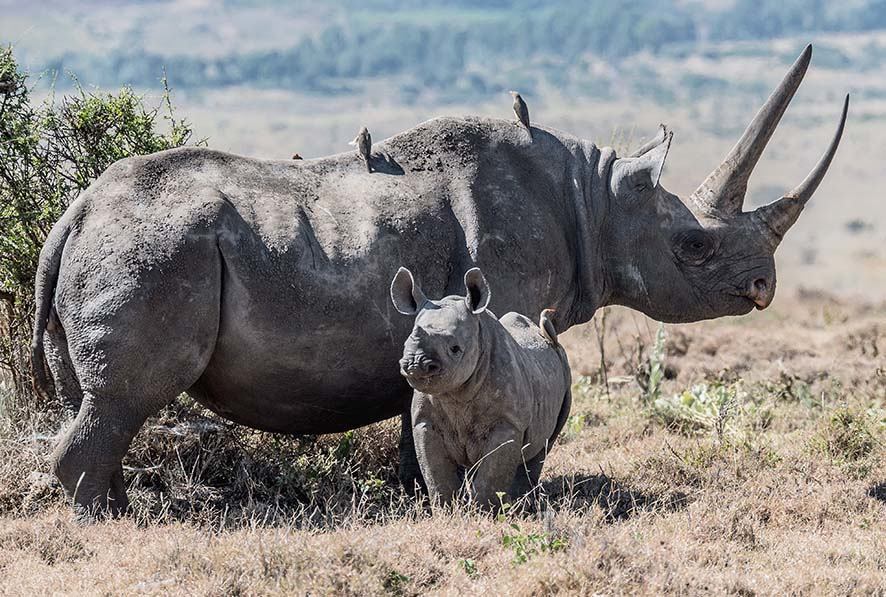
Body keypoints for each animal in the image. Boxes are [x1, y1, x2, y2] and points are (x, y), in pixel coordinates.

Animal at [392, 266, 571, 506]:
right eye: (405, 344)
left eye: (455, 349)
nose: (415, 364)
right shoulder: (425, 421)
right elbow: (436, 474)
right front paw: (447, 509)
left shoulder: (508, 423)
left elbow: (491, 476)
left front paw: (484, 510)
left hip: (565, 373)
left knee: (543, 446)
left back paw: (521, 502)